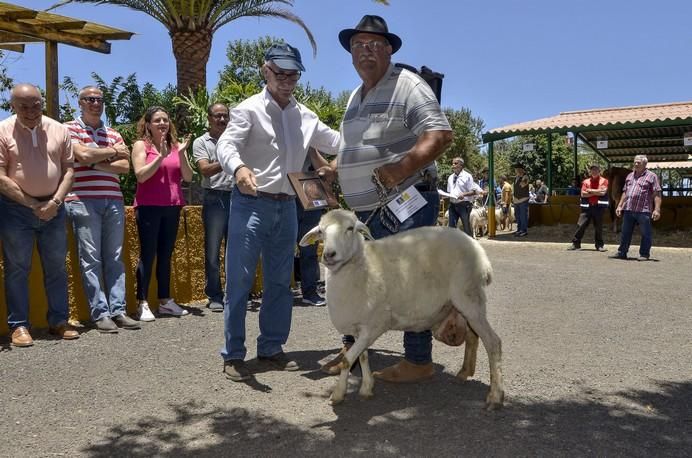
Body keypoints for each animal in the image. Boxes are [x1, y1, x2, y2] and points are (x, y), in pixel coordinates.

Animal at [300, 209, 506, 410]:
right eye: (321, 232)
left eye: (350, 228)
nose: (329, 255)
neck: (363, 268)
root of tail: (477, 248)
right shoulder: (360, 326)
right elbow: (362, 356)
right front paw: (367, 388)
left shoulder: (375, 325)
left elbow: (347, 359)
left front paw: (338, 394)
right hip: (463, 304)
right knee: (473, 337)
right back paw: (464, 373)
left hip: (469, 296)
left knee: (493, 342)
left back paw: (495, 396)